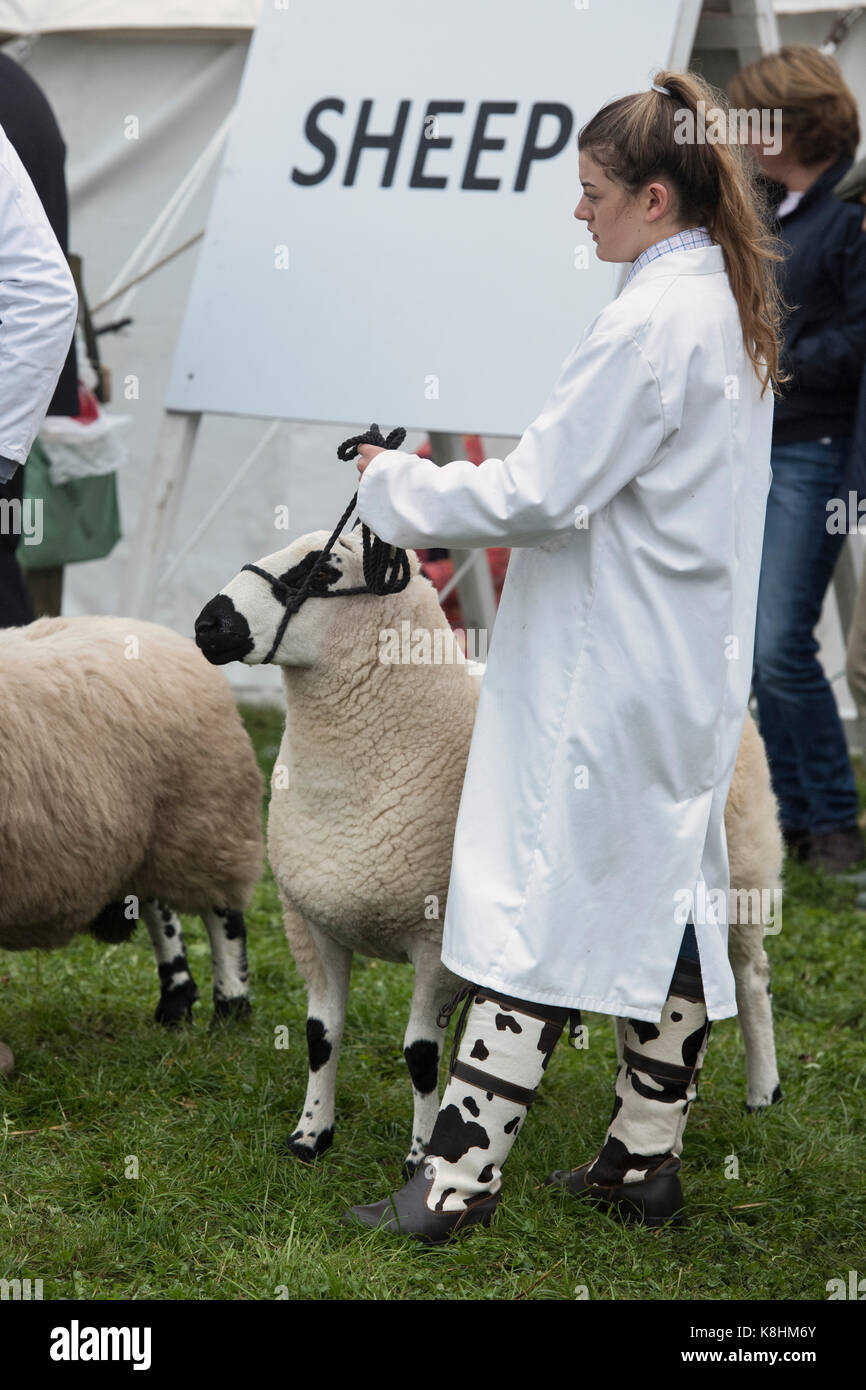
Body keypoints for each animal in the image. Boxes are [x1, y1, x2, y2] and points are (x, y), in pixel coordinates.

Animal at [0, 614, 264, 1028]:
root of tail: (159, 631)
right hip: (150, 837)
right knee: (160, 908)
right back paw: (176, 1003)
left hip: (205, 818)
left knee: (224, 915)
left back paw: (230, 1009)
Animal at [195, 528, 783, 1173]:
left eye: (324, 569)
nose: (207, 623)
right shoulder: (310, 924)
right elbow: (321, 1038)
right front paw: (310, 1136)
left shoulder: (437, 945)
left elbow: (421, 1056)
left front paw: (421, 1154)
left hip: (743, 884)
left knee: (751, 978)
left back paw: (763, 1094)